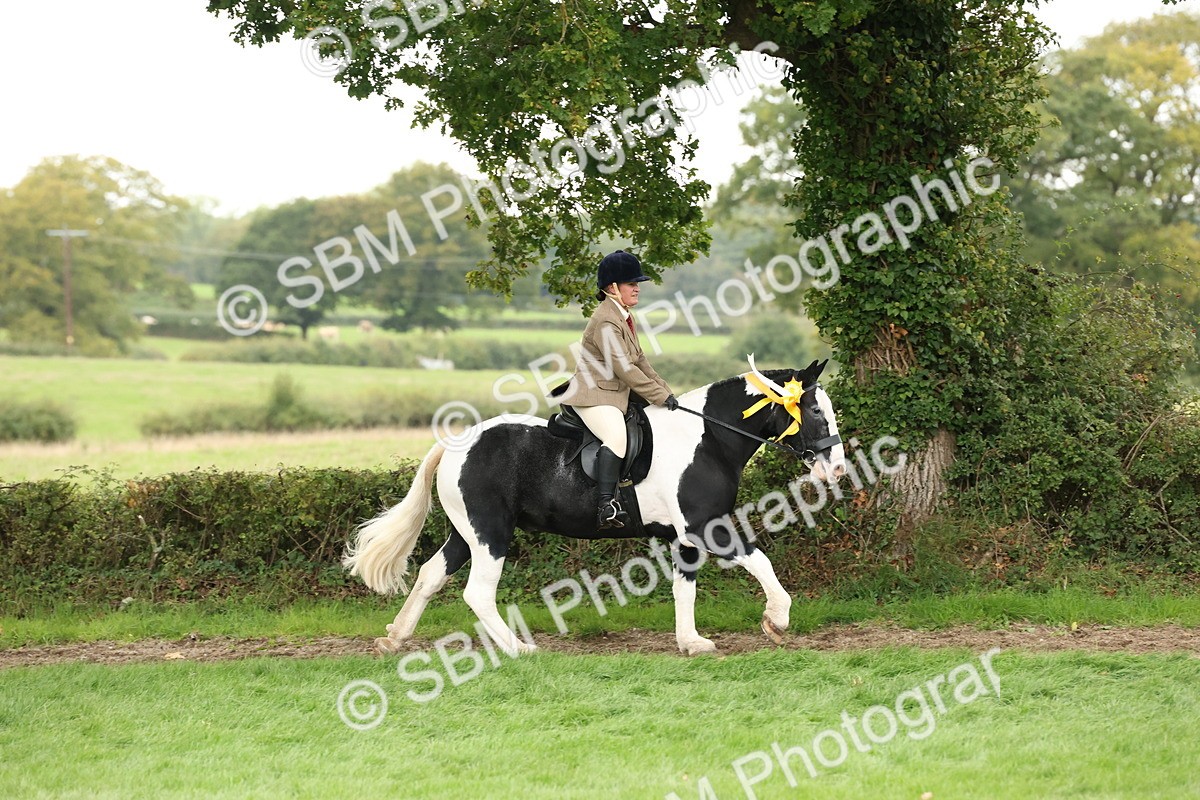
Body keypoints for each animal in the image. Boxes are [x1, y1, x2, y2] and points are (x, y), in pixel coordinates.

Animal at [344, 359, 846, 656]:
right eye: (816, 412)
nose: (838, 468)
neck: (709, 438)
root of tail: (456, 443)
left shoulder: (684, 537)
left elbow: (685, 588)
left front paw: (691, 642)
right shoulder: (707, 527)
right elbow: (759, 560)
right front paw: (777, 620)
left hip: (466, 532)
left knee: (431, 574)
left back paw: (395, 637)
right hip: (491, 533)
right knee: (477, 593)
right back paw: (519, 649)